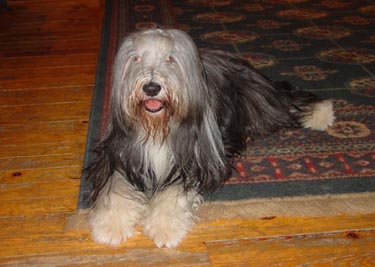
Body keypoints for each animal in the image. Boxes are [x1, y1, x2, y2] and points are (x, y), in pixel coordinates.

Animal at [83, 27, 334, 249]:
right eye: (136, 58)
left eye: (170, 58)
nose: (151, 88)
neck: (159, 127)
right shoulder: (117, 156)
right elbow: (114, 188)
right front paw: (110, 226)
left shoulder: (198, 161)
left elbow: (172, 191)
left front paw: (165, 228)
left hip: (261, 104)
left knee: (289, 102)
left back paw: (322, 114)